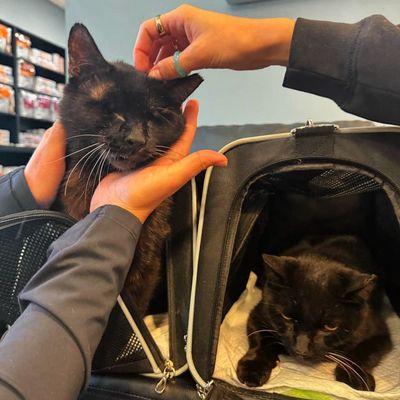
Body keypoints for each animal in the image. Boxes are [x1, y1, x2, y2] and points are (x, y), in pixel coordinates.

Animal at [238, 234, 390, 390]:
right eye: (286, 316)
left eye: (330, 327)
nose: (301, 350)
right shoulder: (259, 315)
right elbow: (260, 341)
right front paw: (252, 369)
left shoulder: (378, 332)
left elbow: (364, 352)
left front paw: (355, 378)